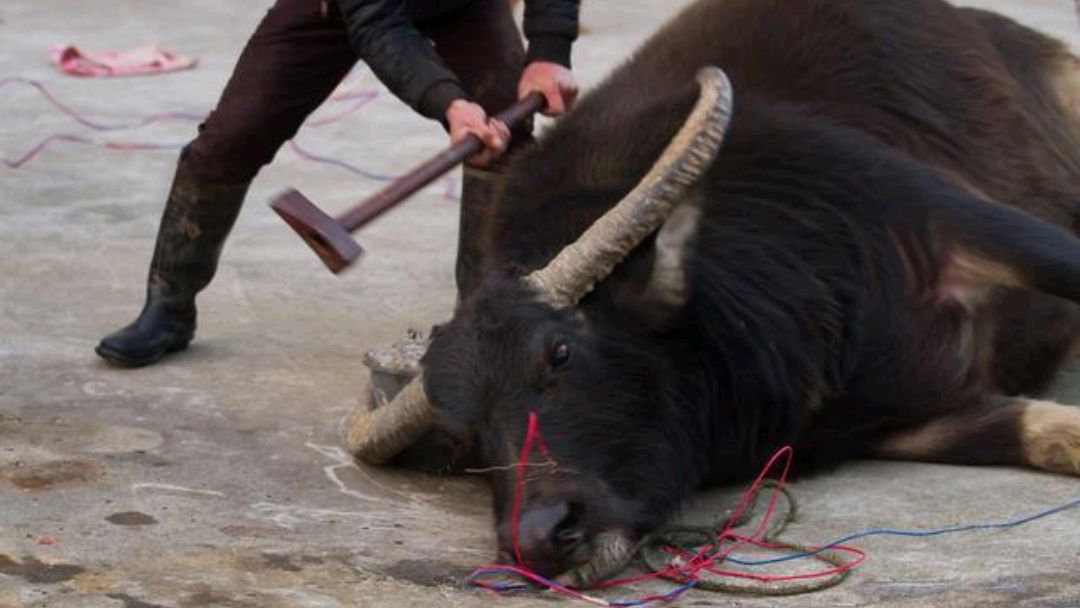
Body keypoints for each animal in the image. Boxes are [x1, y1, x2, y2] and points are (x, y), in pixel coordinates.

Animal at [341, 0, 1075, 587]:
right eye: (466, 433)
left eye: (559, 354)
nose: (541, 536)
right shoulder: (886, 420)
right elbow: (1041, 434)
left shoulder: (950, 219)